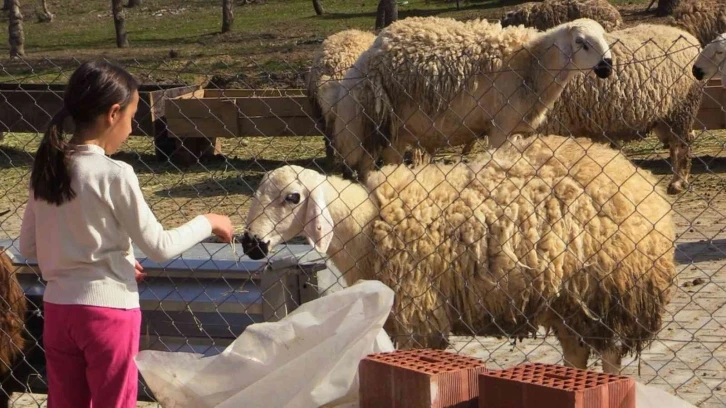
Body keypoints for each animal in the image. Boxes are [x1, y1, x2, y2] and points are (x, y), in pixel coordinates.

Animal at [242, 133, 680, 372]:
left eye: (292, 197)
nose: (249, 243)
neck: (368, 224)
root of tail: (641, 181)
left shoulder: (418, 314)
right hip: (568, 300)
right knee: (577, 354)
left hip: (607, 293)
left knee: (609, 358)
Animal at [330, 16, 616, 180]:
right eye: (581, 42)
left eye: (605, 38)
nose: (607, 67)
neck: (532, 64)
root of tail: (367, 56)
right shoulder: (500, 126)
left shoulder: (516, 128)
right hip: (377, 124)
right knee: (369, 166)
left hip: (394, 130)